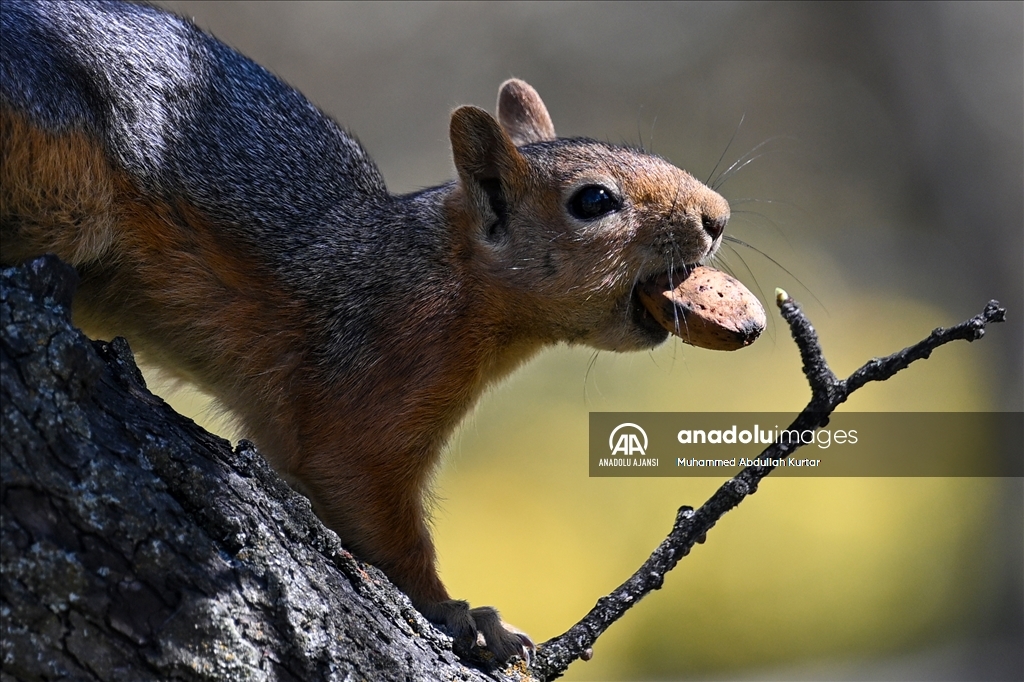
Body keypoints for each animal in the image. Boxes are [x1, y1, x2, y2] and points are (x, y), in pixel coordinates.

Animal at [0, 0, 737, 659]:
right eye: (594, 201)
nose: (719, 215)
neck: (446, 278)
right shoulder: (367, 392)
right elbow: (367, 504)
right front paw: (462, 615)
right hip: (60, 188)